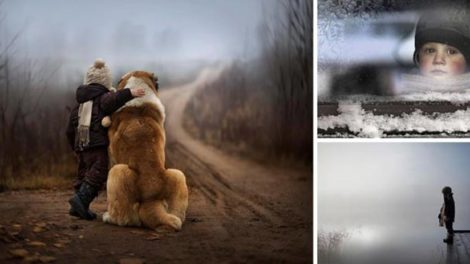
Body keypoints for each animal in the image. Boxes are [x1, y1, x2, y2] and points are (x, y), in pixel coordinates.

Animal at [103, 70, 188, 231]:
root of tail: (151, 197)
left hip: (117, 172)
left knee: (125, 218)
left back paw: (108, 217)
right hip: (178, 175)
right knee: (177, 214)